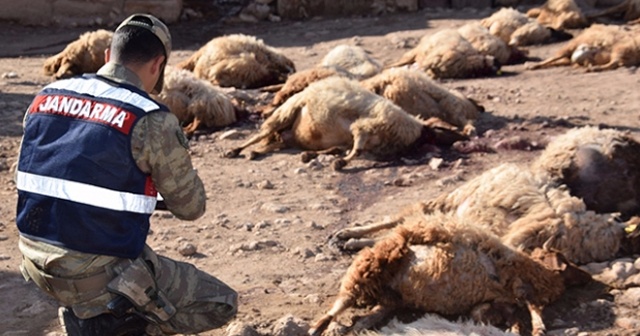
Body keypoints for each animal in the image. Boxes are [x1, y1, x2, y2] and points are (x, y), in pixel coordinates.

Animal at [221, 76, 464, 171]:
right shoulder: (363, 126)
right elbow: (356, 149)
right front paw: (341, 163)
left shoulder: (355, 137)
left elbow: (342, 148)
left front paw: (318, 156)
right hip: (286, 112)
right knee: (260, 134)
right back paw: (235, 150)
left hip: (289, 132)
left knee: (275, 142)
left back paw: (257, 152)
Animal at [310, 210, 592, 336]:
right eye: (564, 258)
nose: (588, 277)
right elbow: (532, 305)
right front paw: (538, 327)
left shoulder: (495, 302)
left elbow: (509, 313)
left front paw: (521, 328)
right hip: (366, 269)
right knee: (338, 305)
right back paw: (317, 327)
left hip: (388, 299)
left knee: (362, 320)